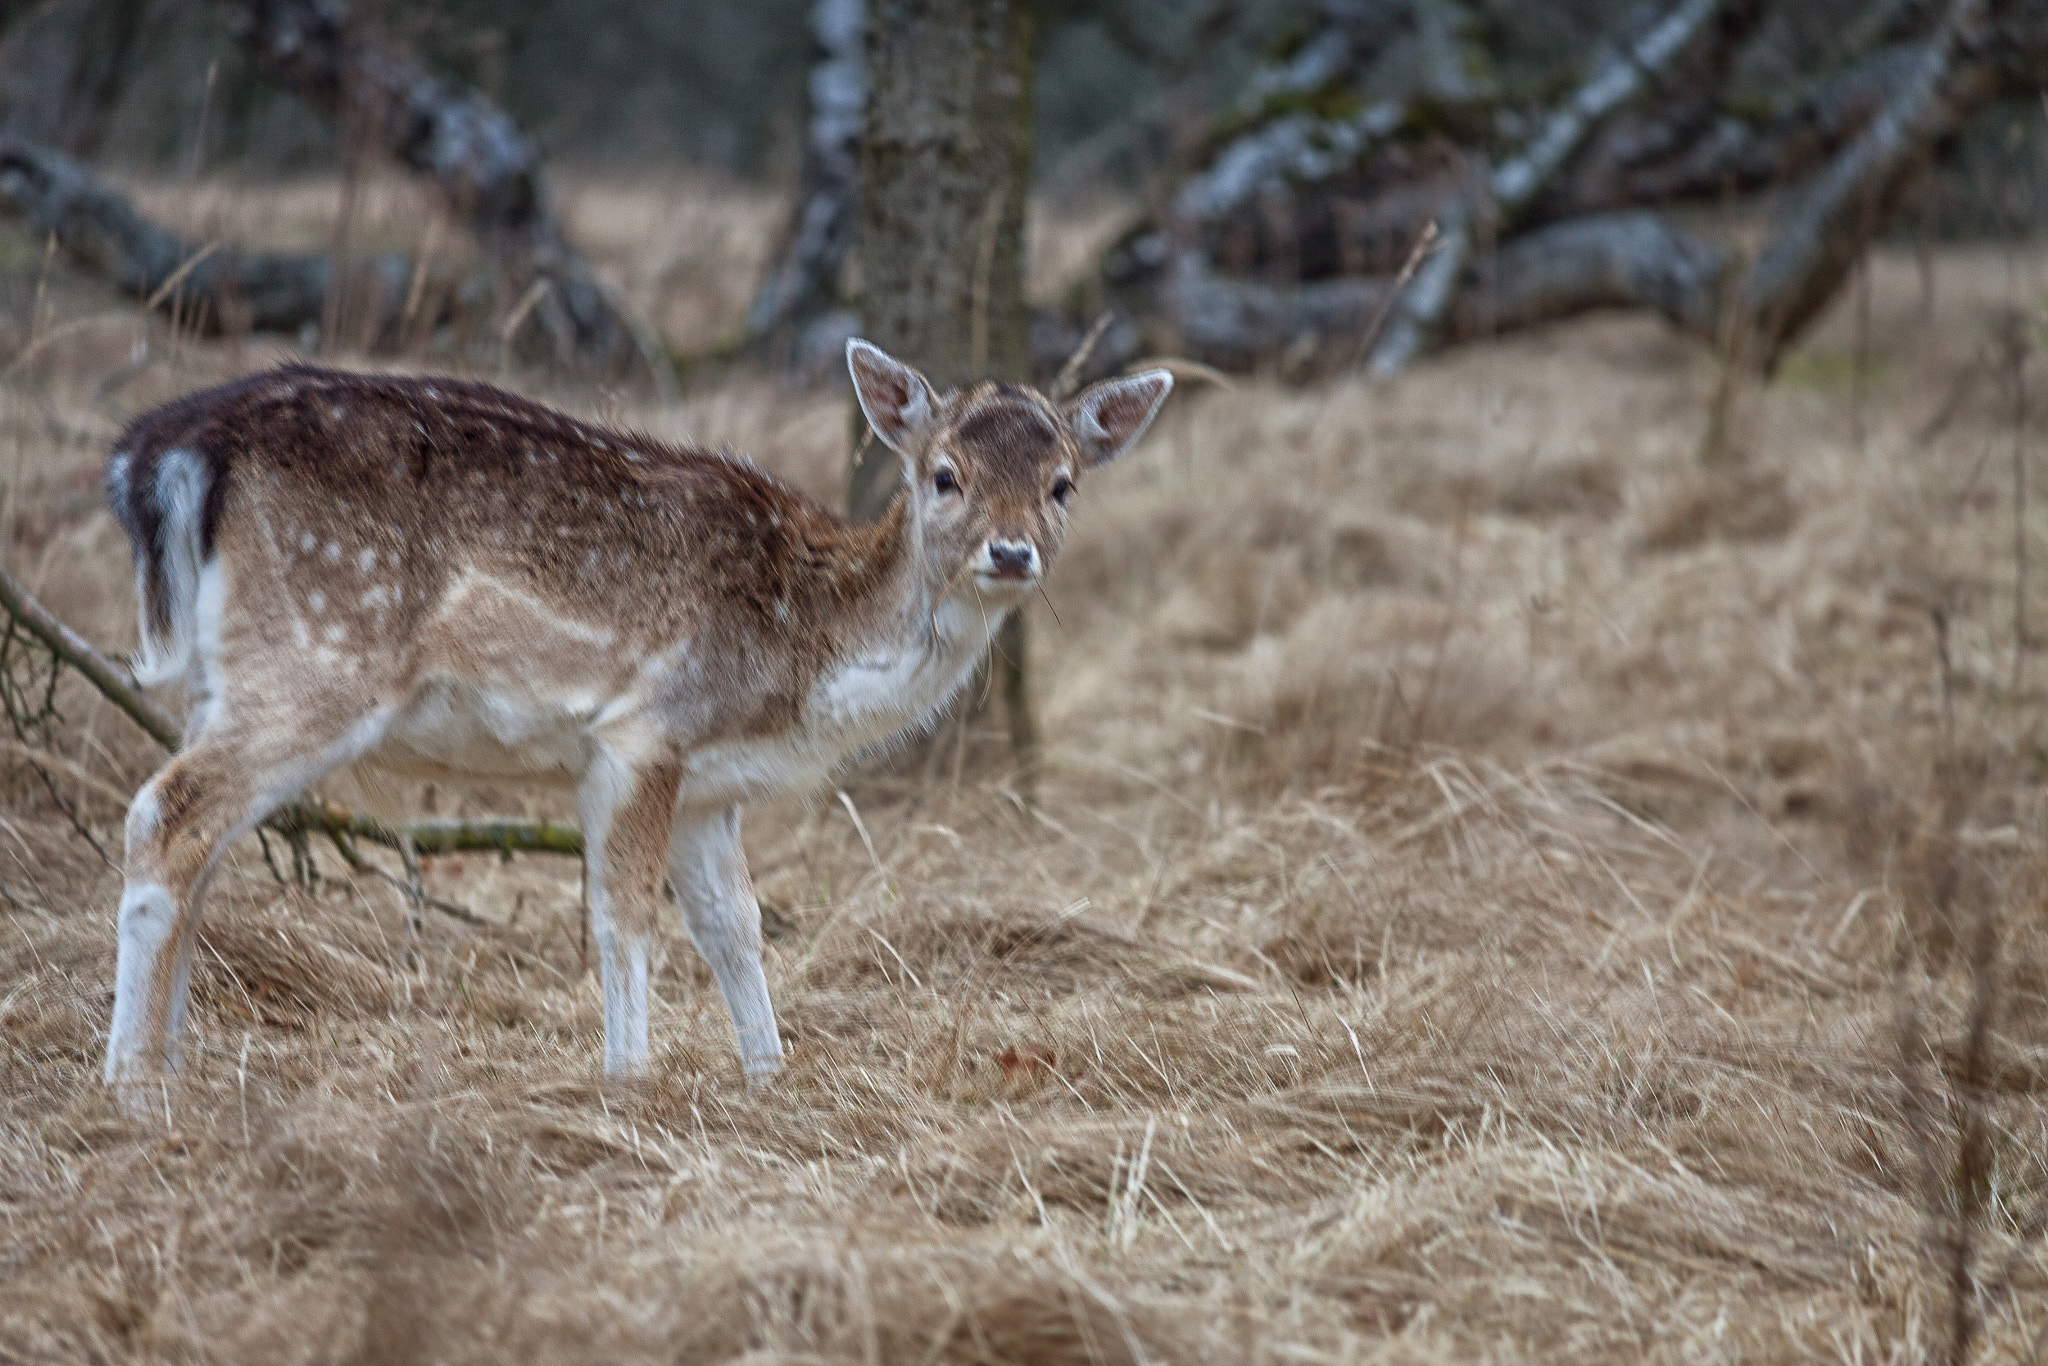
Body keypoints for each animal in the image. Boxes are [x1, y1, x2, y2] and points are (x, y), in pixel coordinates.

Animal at [99, 340, 1172, 1108]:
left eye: (1064, 482)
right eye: (944, 474)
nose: (1012, 551)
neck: (801, 665)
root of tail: (172, 449)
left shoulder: (709, 785)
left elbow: (736, 927)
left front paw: (770, 1079)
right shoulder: (640, 733)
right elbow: (624, 917)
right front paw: (630, 1082)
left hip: (228, 676)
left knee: (204, 841)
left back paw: (174, 1066)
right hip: (319, 656)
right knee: (166, 813)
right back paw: (132, 1088)